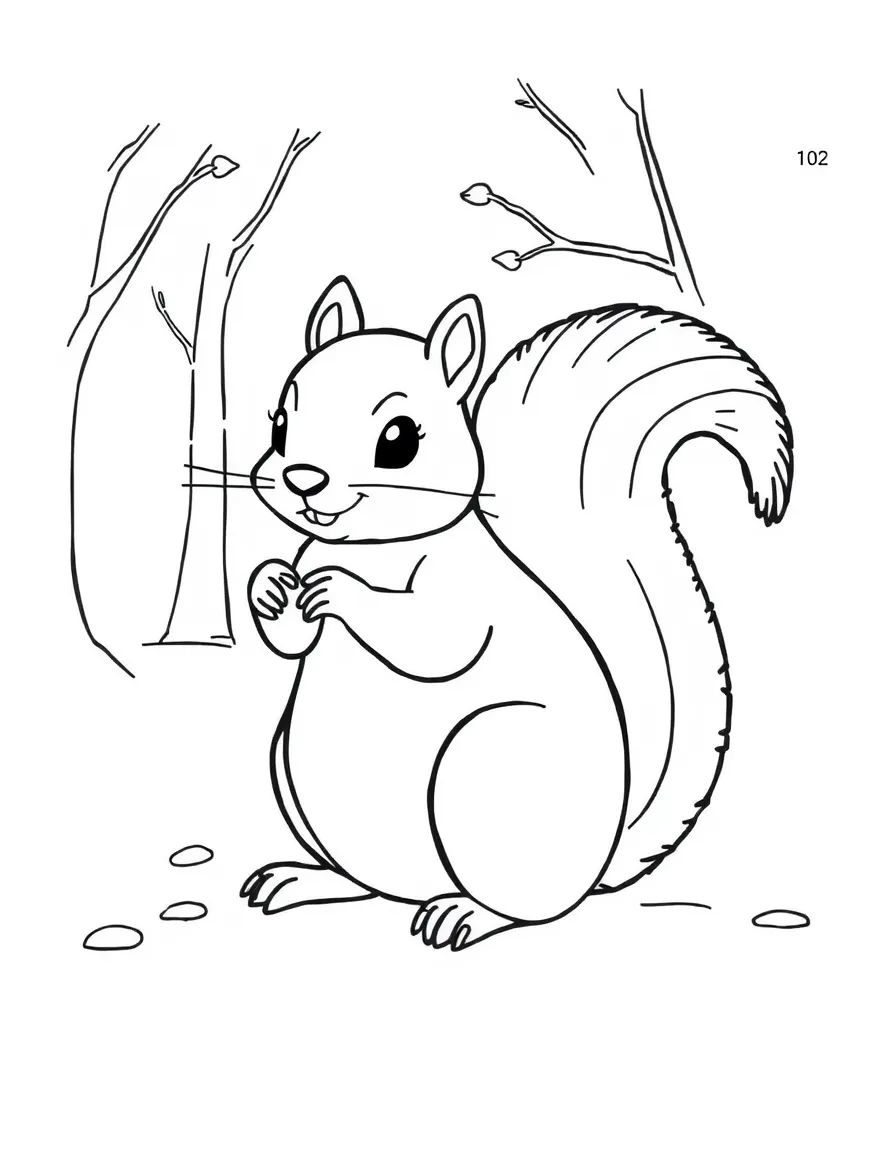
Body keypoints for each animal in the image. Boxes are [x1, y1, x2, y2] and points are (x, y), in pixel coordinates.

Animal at [241, 274, 793, 951]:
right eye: (279, 424)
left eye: (398, 439)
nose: (302, 478)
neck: (373, 549)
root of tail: (598, 865)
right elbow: (291, 638)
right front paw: (268, 585)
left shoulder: (466, 591)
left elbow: (434, 643)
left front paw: (337, 591)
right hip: (288, 765)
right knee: (368, 883)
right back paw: (305, 879)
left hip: (487, 764)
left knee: (529, 909)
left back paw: (465, 913)